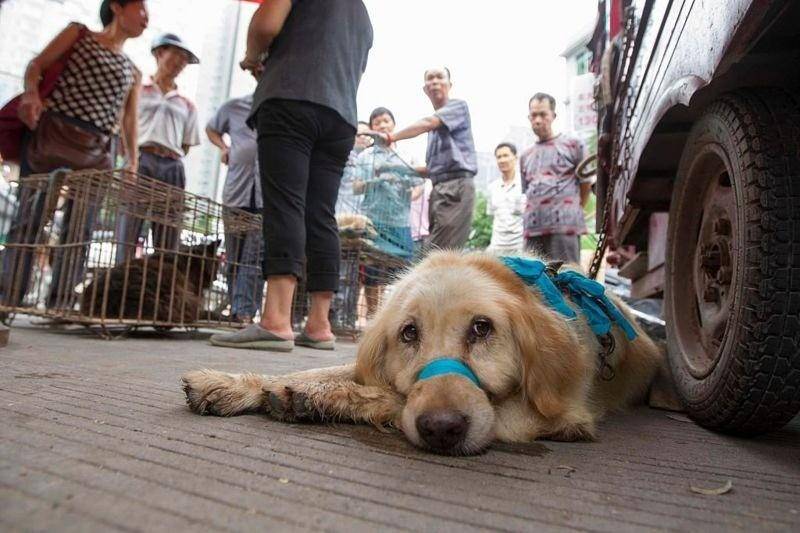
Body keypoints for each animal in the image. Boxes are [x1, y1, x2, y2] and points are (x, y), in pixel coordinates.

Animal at [183, 249, 664, 454]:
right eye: (409, 333)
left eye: (482, 328)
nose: (441, 429)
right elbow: (328, 368)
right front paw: (238, 384)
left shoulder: (561, 416)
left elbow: (392, 397)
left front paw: (314, 396)